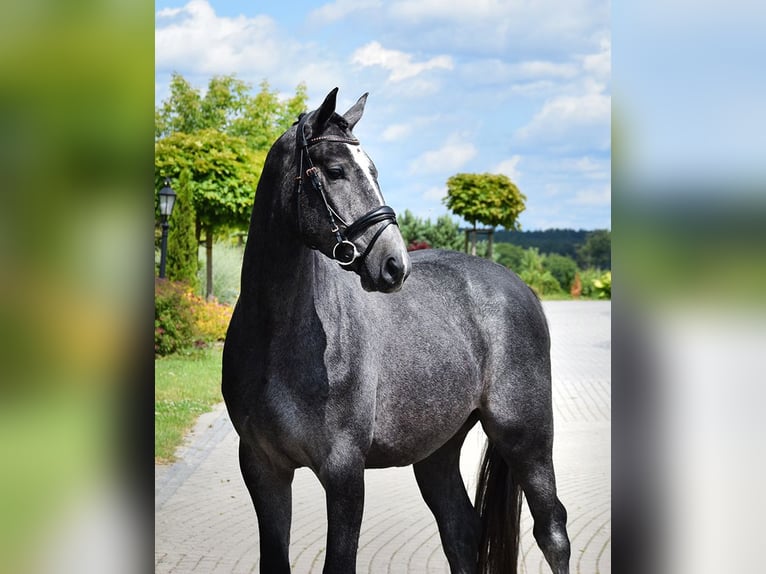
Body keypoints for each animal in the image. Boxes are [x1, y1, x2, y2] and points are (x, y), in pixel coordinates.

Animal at [222, 90, 568, 574]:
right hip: (438, 451)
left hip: (526, 436)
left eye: (373, 170)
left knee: (552, 531)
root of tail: (519, 287)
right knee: (461, 530)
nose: (393, 264)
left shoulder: (344, 472)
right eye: (335, 170)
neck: (280, 338)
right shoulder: (262, 467)